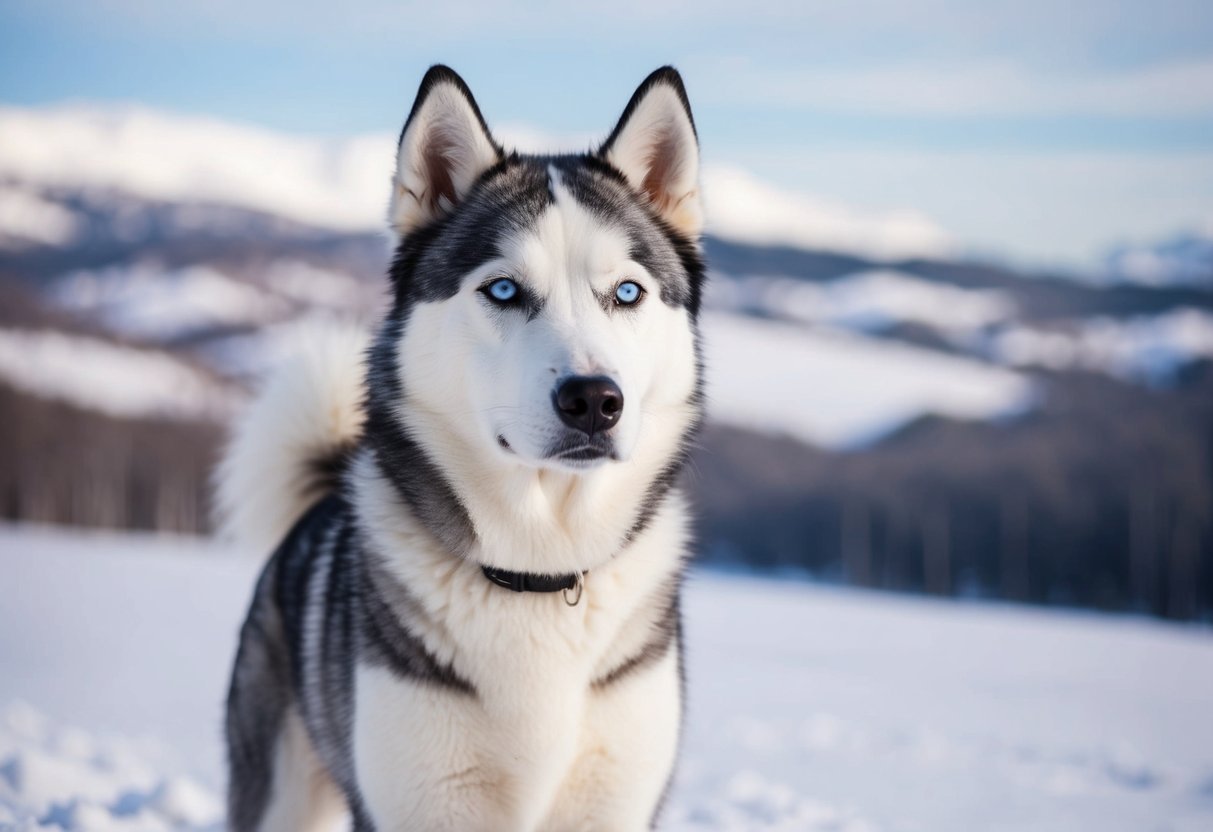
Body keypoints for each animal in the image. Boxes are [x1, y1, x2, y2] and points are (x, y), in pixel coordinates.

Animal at [217, 66, 708, 832]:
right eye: (503, 289)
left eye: (627, 292)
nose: (595, 400)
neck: (537, 570)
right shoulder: (422, 803)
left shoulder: (615, 803)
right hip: (279, 793)